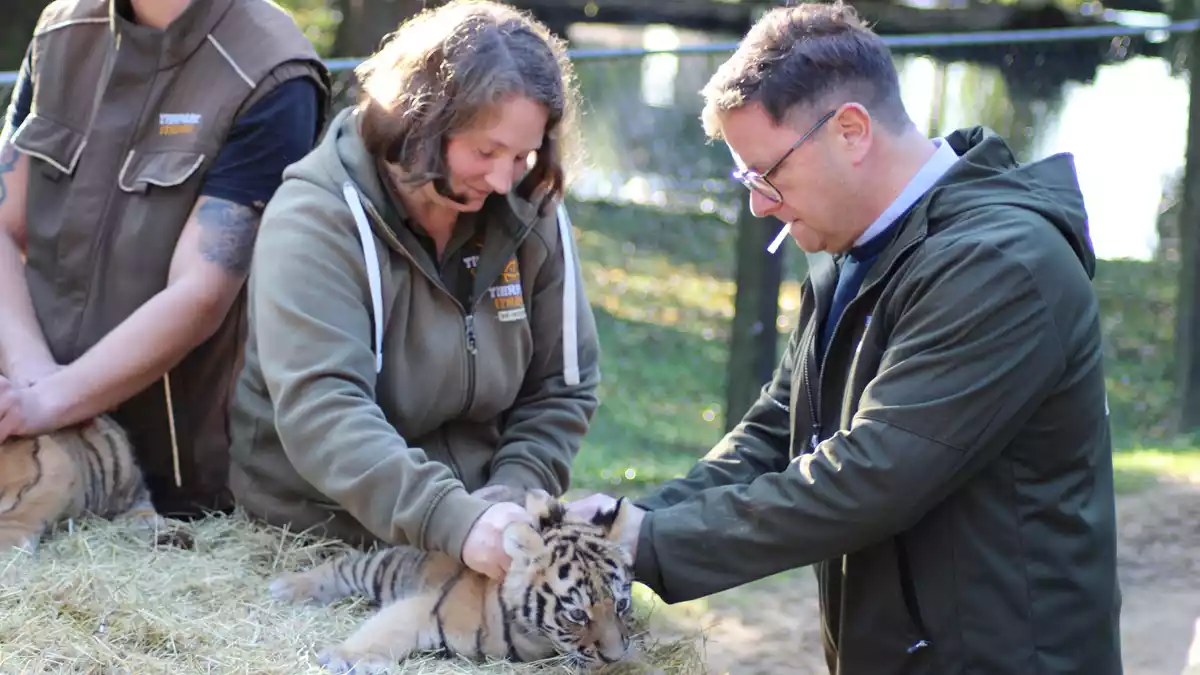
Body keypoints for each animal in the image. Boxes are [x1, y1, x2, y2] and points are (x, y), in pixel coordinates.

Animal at [268, 488, 640, 674]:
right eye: (577, 614)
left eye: (621, 605)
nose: (614, 658)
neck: (533, 636)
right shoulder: (426, 606)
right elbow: (386, 628)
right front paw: (346, 657)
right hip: (384, 567)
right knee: (343, 566)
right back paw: (287, 587)